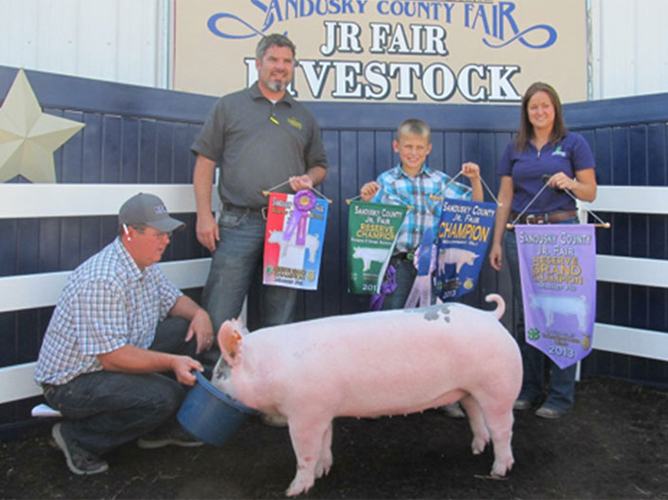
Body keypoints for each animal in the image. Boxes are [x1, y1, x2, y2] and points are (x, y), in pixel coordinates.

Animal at [212, 294, 521, 497]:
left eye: (218, 373)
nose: (210, 385)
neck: (268, 365)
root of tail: (490, 316)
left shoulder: (304, 413)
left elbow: (305, 452)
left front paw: (293, 490)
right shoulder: (322, 409)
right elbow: (325, 442)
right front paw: (324, 471)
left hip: (498, 385)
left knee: (503, 428)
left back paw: (498, 470)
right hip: (470, 389)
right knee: (475, 412)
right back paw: (477, 448)